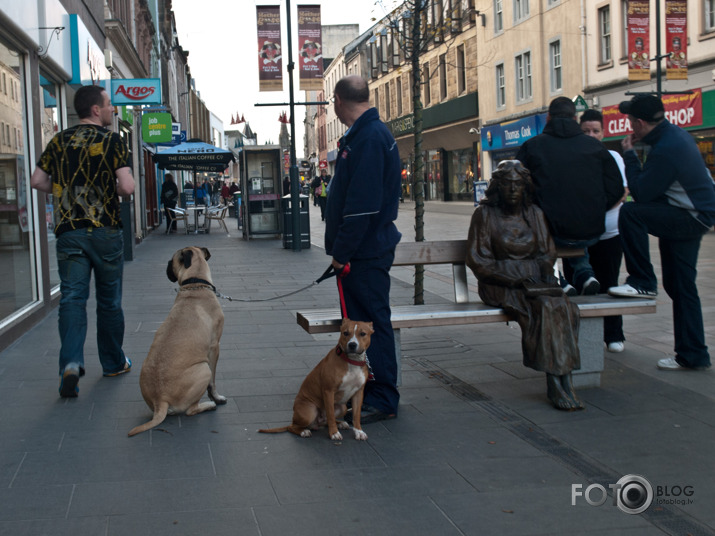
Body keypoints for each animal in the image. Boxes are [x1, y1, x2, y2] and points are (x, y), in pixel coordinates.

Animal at [129, 247, 227, 436]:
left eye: (171, 261)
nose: (166, 265)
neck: (194, 284)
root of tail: (160, 400)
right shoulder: (214, 348)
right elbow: (213, 383)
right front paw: (217, 397)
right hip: (203, 369)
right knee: (190, 410)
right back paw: (209, 405)